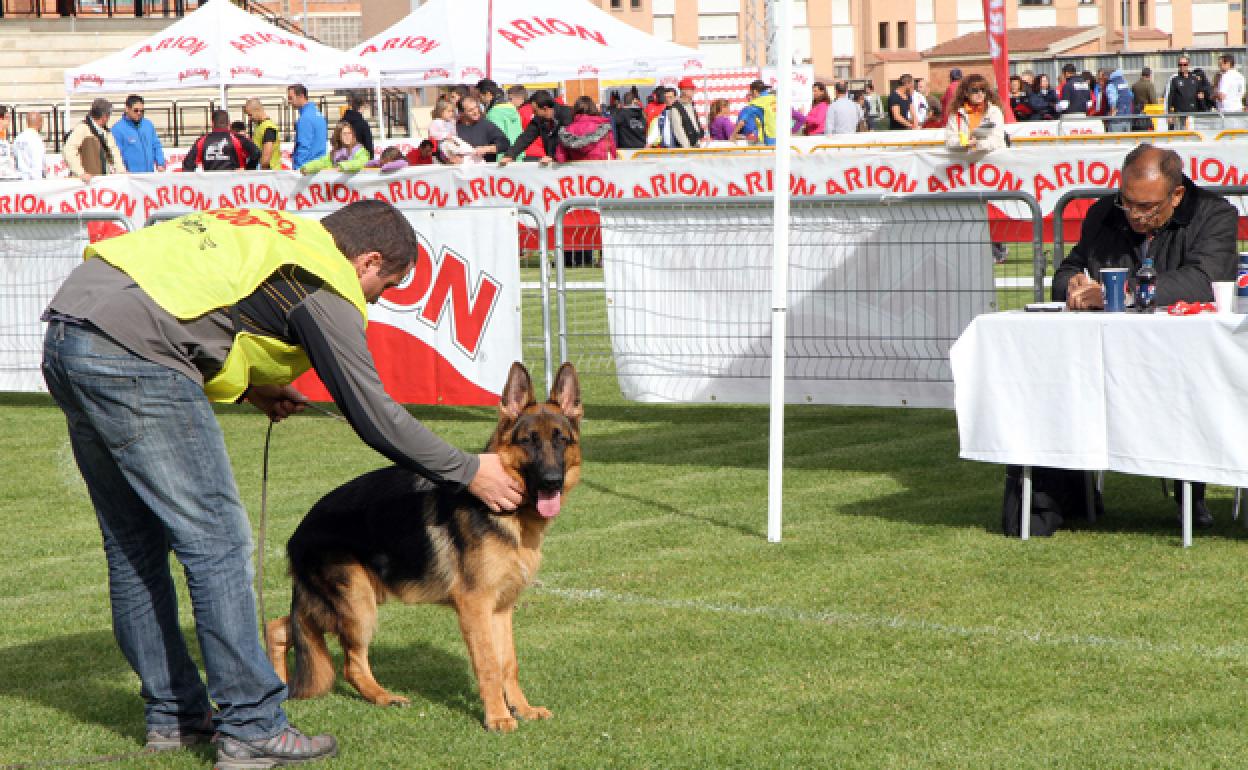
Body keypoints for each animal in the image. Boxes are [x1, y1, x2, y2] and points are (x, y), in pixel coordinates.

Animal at [265, 361, 581, 733]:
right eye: (528, 442)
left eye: (561, 440)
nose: (551, 482)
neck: (511, 514)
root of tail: (298, 533)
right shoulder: (475, 607)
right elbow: (489, 664)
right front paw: (497, 717)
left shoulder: (501, 608)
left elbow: (508, 664)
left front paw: (522, 708)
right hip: (357, 603)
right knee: (350, 663)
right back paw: (382, 696)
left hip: (342, 602)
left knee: (279, 627)